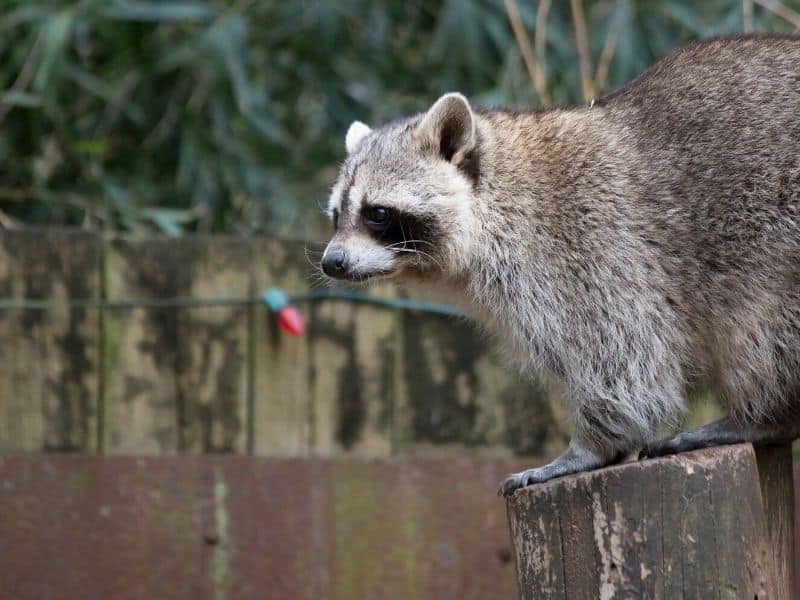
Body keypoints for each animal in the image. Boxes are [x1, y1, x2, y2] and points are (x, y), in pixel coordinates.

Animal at [320, 37, 800, 496]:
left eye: (378, 214)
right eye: (336, 215)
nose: (332, 263)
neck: (496, 200)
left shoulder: (588, 248)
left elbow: (624, 362)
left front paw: (591, 447)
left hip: (779, 240)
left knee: (764, 331)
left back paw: (763, 414)